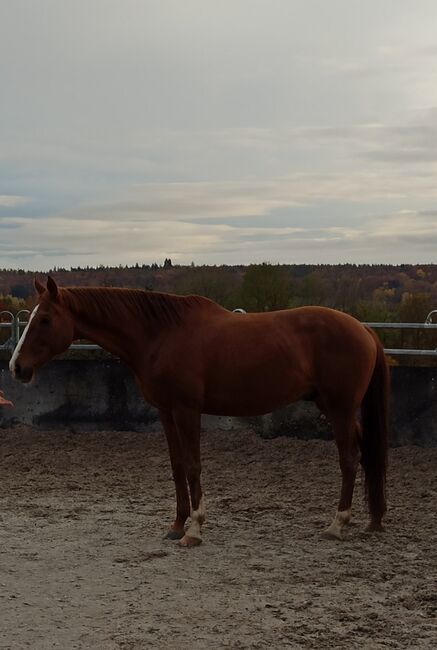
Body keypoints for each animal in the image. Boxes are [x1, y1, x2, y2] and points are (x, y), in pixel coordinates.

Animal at [9, 276, 388, 544]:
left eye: (44, 320)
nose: (17, 367)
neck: (162, 334)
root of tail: (363, 328)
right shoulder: (166, 412)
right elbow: (177, 466)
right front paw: (177, 525)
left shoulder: (187, 410)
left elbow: (193, 465)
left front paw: (195, 529)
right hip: (333, 406)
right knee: (366, 453)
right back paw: (374, 519)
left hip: (340, 409)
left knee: (349, 459)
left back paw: (337, 525)